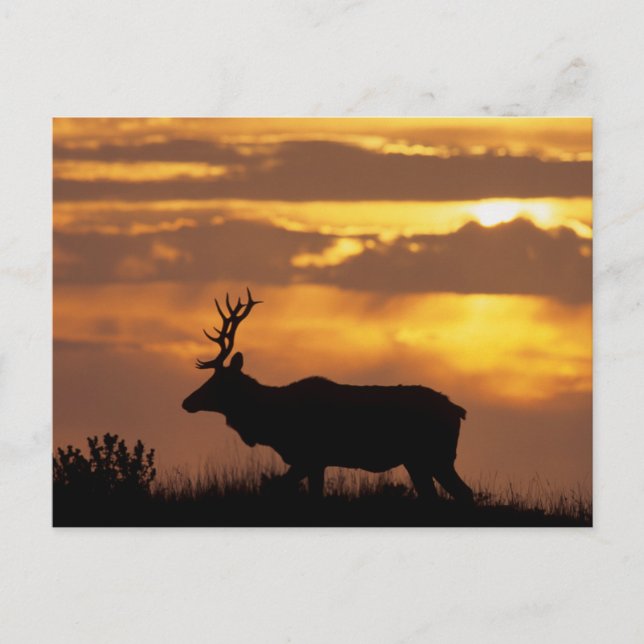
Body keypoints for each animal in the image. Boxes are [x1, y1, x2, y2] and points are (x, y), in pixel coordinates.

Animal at [182, 289, 474, 504]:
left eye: (218, 381)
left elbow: (281, 489)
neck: (272, 423)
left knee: (465, 493)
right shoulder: (316, 462)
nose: (187, 402)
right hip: (418, 460)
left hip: (436, 456)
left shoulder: (309, 456)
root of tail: (458, 410)